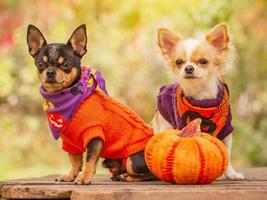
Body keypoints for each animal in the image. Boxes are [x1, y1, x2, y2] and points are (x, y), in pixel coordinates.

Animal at [26, 24, 155, 184]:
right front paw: (70, 176)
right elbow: (75, 161)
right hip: (109, 161)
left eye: (66, 64)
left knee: (150, 175)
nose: (50, 72)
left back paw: (128, 177)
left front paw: (84, 178)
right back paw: (118, 175)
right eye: (40, 64)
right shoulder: (71, 143)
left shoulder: (94, 137)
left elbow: (89, 161)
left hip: (133, 161)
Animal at [154, 23, 246, 181]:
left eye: (203, 61)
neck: (201, 96)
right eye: (179, 62)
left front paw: (232, 174)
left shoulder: (226, 130)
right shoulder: (181, 126)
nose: (188, 68)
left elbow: (227, 154)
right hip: (165, 125)